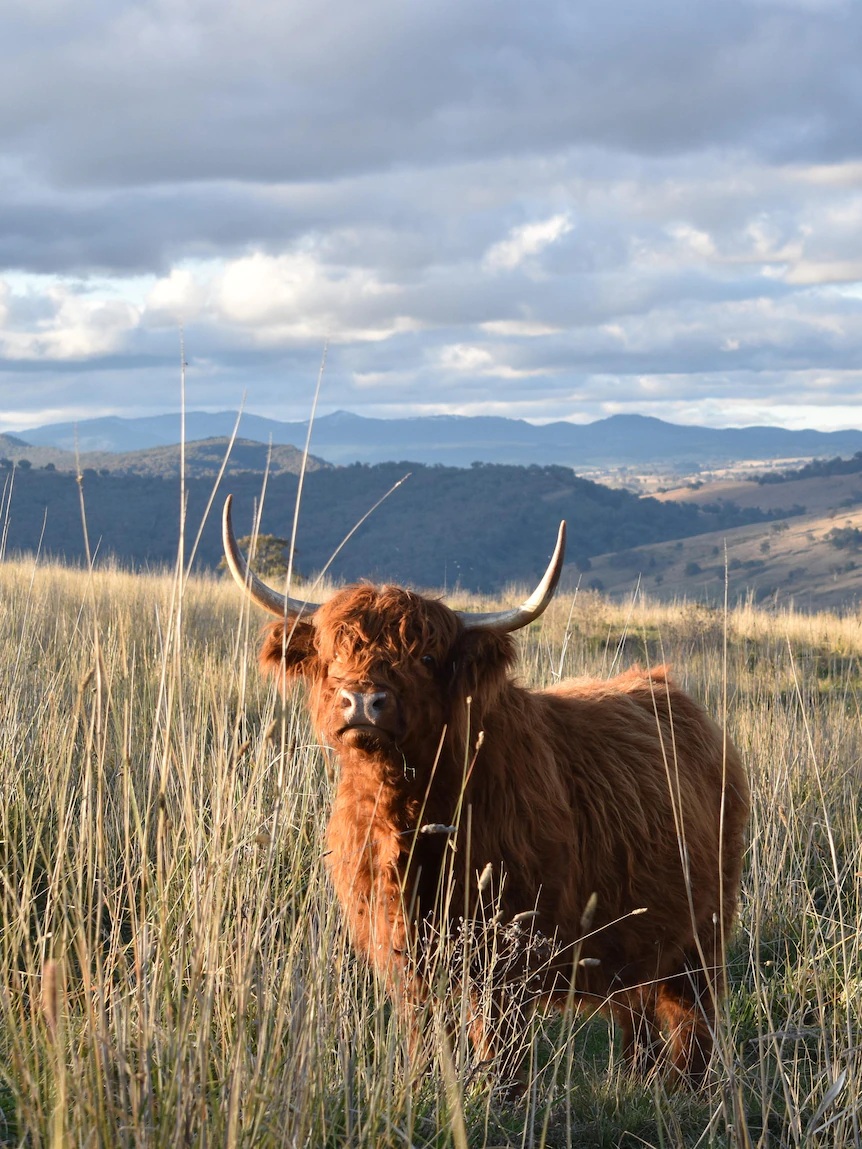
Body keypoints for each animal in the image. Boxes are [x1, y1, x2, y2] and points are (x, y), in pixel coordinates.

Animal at [222, 496, 749, 1084]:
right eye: (335, 653)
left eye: (427, 659)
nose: (362, 701)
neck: (410, 815)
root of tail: (666, 687)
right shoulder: (400, 944)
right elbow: (424, 1031)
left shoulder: (507, 952)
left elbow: (499, 1050)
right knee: (638, 1015)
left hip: (702, 932)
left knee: (691, 1017)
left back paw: (687, 1086)